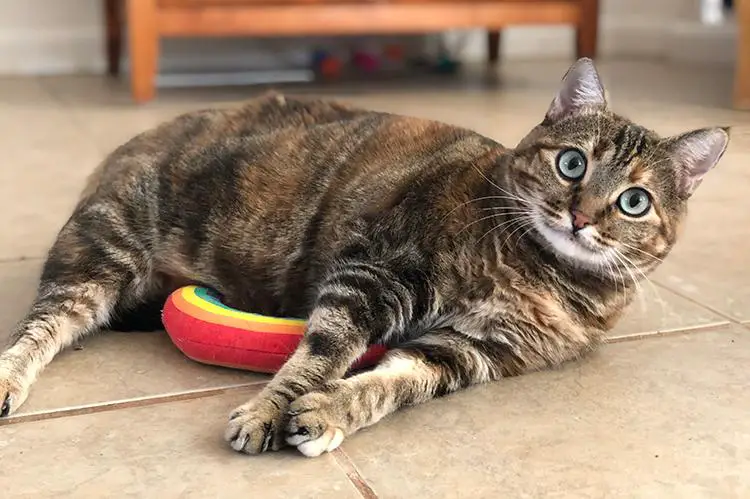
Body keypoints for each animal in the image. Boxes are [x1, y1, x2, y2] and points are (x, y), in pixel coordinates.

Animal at [0, 57, 728, 458]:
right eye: (572, 163)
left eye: (634, 201)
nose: (582, 216)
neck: (539, 273)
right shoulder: (374, 272)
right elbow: (319, 354)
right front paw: (271, 410)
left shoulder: (473, 351)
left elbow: (395, 380)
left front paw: (329, 414)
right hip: (104, 246)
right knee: (45, 324)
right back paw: (9, 379)